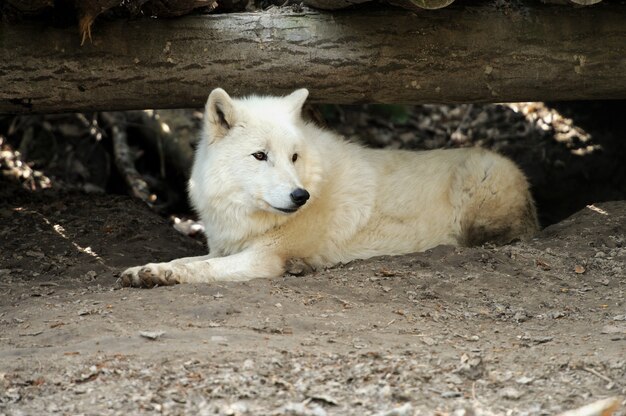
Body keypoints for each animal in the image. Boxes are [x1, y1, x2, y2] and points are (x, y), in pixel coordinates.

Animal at [122, 89, 536, 288]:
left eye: (293, 157)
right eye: (260, 156)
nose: (299, 196)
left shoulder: (260, 259)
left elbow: (201, 269)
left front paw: (165, 276)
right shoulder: (226, 248)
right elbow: (186, 260)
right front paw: (147, 270)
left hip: (479, 179)